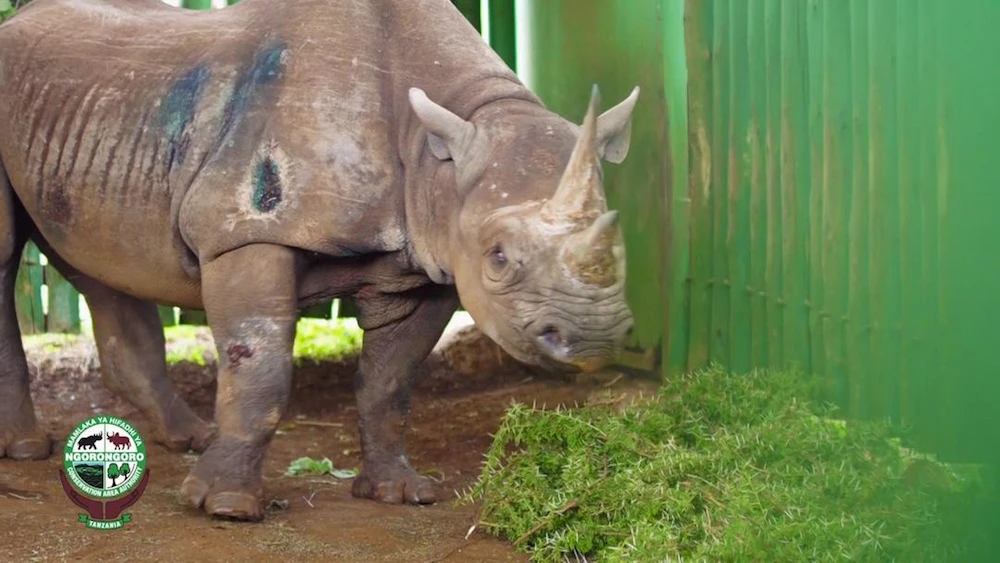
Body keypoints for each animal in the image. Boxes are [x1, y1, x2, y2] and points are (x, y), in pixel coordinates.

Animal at [0, 0, 639, 521]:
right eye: (499, 258)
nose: (595, 338)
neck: (439, 150)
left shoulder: (425, 267)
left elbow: (390, 382)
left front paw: (398, 493)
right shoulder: (245, 232)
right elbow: (260, 368)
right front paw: (225, 507)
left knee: (98, 262)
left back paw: (187, 438)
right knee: (9, 256)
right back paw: (28, 449)